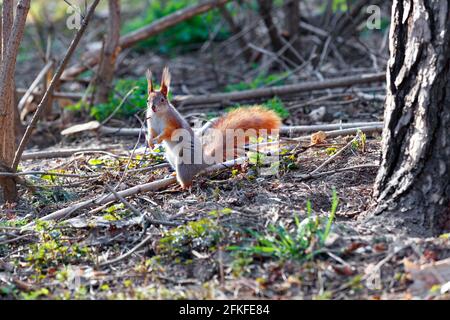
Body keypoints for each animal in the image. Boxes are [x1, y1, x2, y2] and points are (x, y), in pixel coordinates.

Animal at [146, 67, 282, 188]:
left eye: (162, 100)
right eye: (148, 100)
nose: (153, 107)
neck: (158, 115)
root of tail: (202, 163)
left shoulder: (173, 122)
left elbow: (168, 132)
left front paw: (159, 139)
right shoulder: (151, 124)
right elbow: (152, 132)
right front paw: (150, 142)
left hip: (184, 160)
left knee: (187, 179)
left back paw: (184, 186)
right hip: (170, 157)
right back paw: (174, 174)